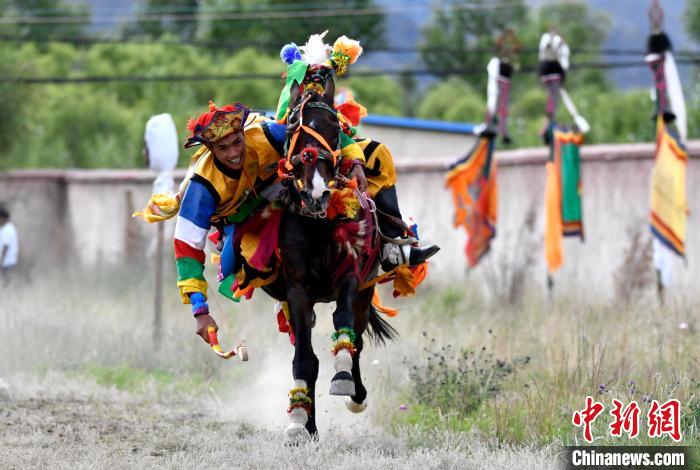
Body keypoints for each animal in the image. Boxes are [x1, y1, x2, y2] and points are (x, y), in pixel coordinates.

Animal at [262, 75, 396, 442]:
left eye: (335, 128)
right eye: (292, 127)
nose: (316, 193)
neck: (318, 224)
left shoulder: (350, 278)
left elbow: (344, 323)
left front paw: (346, 381)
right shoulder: (298, 291)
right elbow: (305, 359)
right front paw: (298, 423)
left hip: (366, 290)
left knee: (357, 338)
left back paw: (356, 393)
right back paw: (307, 424)